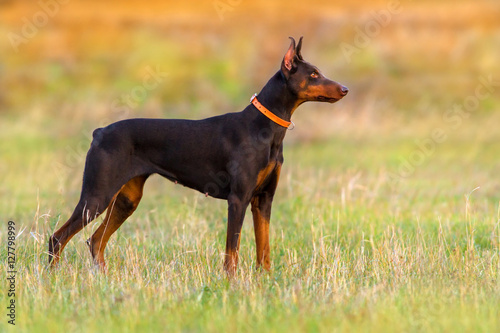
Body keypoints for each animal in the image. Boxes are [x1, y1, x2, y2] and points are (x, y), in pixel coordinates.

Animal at [47, 37, 348, 274]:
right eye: (313, 75)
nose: (345, 89)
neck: (265, 128)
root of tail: (99, 132)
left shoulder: (263, 200)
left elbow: (264, 250)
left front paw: (266, 282)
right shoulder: (238, 200)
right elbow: (232, 251)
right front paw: (231, 284)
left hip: (126, 199)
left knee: (96, 241)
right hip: (97, 196)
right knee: (58, 238)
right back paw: (53, 280)